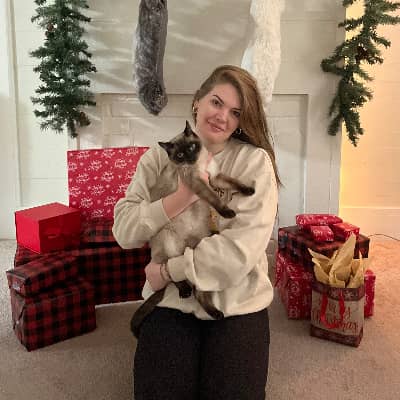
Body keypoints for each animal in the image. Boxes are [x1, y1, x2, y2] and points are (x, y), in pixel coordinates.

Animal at [130, 121, 255, 338]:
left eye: (191, 148)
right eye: (180, 155)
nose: (189, 158)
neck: (201, 162)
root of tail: (187, 246)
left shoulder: (215, 178)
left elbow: (235, 182)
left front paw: (249, 190)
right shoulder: (200, 183)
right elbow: (215, 200)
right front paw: (228, 212)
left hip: (200, 245)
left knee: (197, 289)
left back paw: (216, 314)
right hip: (168, 241)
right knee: (170, 271)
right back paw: (184, 291)